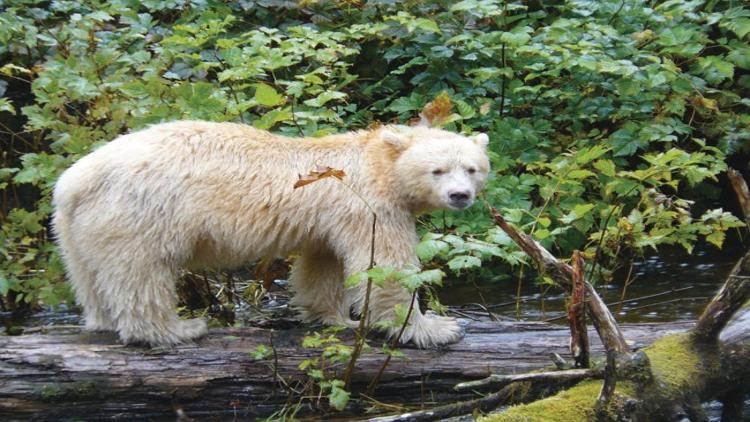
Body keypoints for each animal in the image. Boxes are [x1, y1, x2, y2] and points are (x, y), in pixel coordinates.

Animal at [55, 120, 494, 348]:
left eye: (472, 168)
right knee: (141, 273)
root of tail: (75, 179)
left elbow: (324, 265)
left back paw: (102, 320)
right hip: (142, 212)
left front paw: (336, 318)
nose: (460, 195)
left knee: (89, 275)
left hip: (77, 228)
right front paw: (434, 328)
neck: (375, 162)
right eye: (437, 170)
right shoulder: (369, 206)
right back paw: (175, 330)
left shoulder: (329, 217)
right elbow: (383, 266)